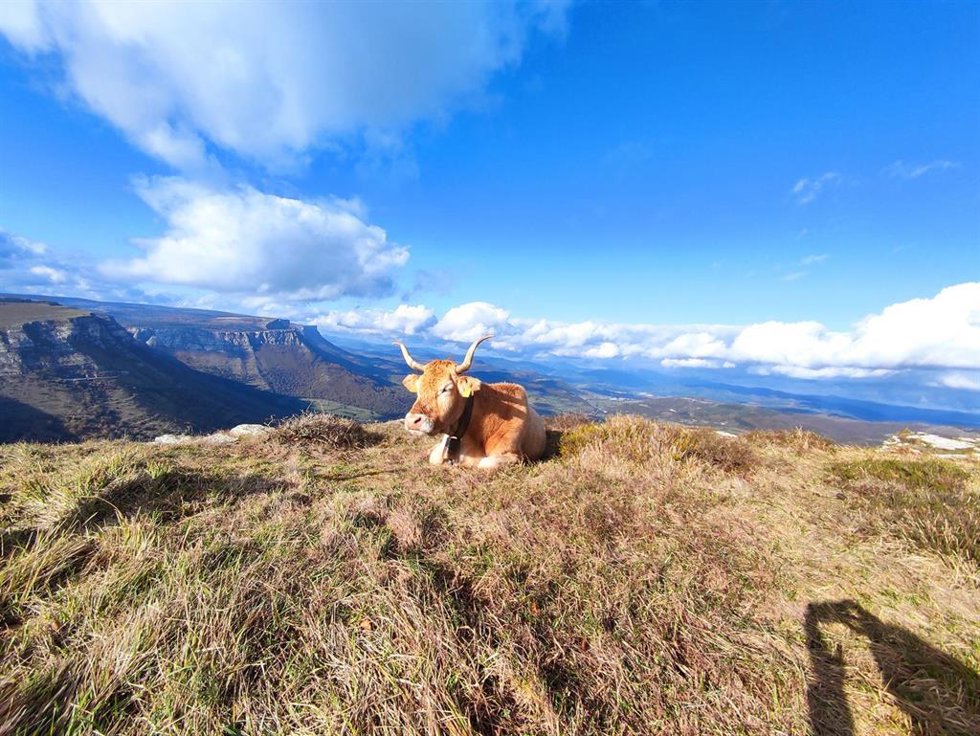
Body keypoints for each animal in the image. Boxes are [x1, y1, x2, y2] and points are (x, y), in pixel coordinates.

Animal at [395, 334, 547, 469]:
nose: (412, 420)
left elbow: (485, 464)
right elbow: (435, 457)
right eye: (418, 387)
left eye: (446, 389)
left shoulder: (514, 455)